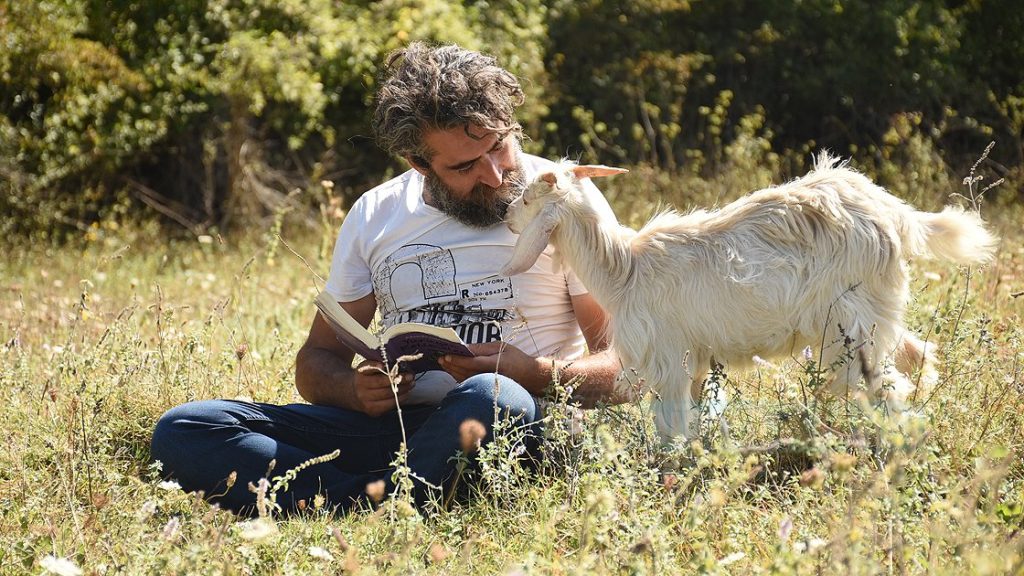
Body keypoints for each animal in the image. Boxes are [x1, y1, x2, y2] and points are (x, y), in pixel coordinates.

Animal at [503, 153, 999, 438]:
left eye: (527, 199)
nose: (506, 217)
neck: (625, 269)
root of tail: (894, 214)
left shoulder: (666, 357)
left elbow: (671, 425)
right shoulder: (697, 359)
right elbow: (695, 420)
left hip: (849, 324)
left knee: (887, 386)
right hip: (876, 311)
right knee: (918, 356)